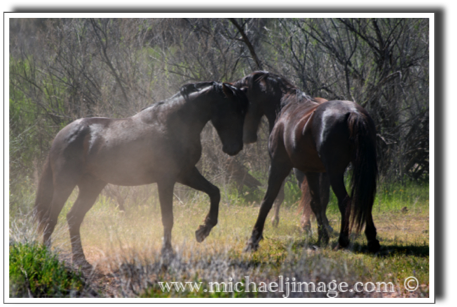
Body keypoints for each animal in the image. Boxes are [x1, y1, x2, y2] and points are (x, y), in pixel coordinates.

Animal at [33, 82, 248, 270]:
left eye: (244, 110)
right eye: (233, 109)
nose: (234, 148)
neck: (173, 124)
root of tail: (60, 136)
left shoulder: (186, 173)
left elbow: (215, 192)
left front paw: (203, 230)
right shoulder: (166, 180)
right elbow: (168, 218)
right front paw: (168, 255)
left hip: (92, 186)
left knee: (73, 218)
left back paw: (81, 261)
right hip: (65, 184)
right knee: (51, 218)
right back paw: (48, 256)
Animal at [233, 71, 380, 253]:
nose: (246, 137)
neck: (286, 107)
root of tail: (353, 113)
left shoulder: (278, 166)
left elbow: (267, 201)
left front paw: (253, 240)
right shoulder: (311, 171)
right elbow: (315, 203)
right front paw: (322, 237)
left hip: (335, 172)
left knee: (345, 201)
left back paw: (342, 241)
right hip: (360, 170)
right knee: (366, 199)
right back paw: (372, 240)